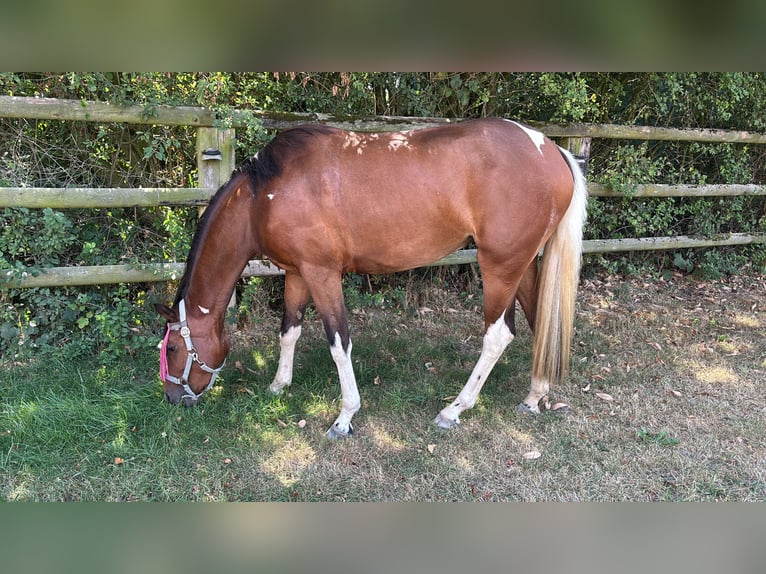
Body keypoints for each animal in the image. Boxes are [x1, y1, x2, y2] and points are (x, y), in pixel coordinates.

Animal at [155, 118, 588, 438]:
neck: (264, 196)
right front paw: (279, 385)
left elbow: (338, 342)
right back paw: (534, 396)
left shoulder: (322, 274)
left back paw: (454, 409)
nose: (173, 399)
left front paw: (345, 416)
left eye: (173, 348)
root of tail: (552, 150)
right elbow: (289, 330)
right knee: (539, 321)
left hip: (500, 266)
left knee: (498, 335)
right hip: (523, 264)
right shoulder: (297, 273)